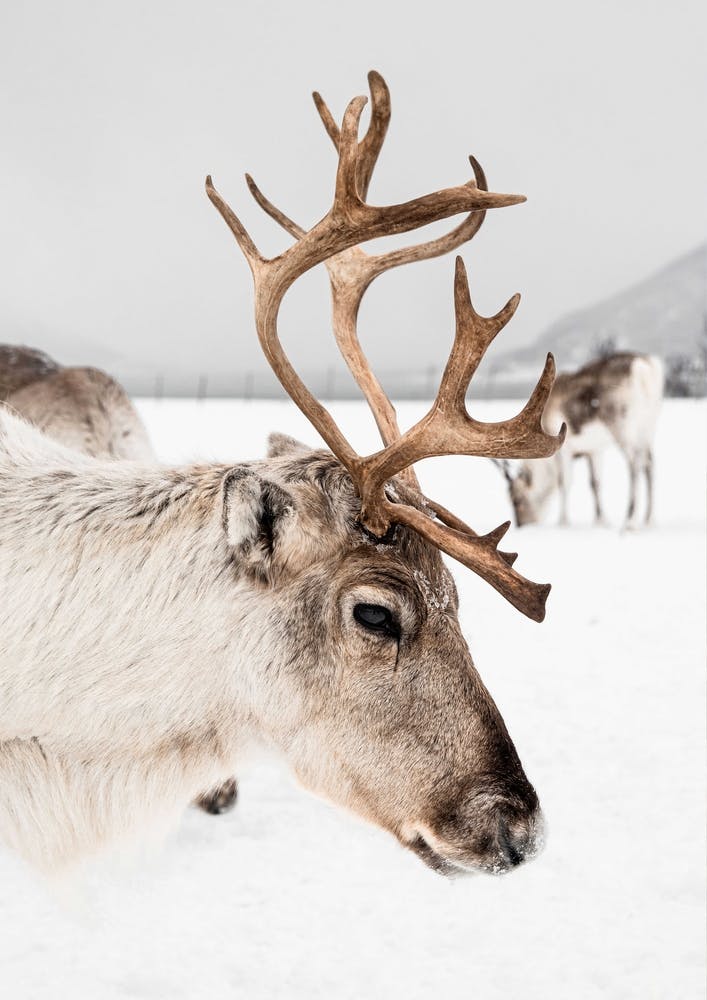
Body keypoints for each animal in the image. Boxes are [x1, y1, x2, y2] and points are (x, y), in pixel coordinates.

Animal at [495, 352, 663, 529]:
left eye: (516, 499)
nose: (522, 525)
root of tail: (644, 367)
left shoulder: (564, 449)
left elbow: (564, 482)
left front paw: (563, 521)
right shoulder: (594, 450)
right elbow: (595, 483)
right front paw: (600, 520)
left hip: (623, 428)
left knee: (635, 465)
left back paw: (630, 521)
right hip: (649, 426)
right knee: (649, 464)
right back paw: (649, 519)